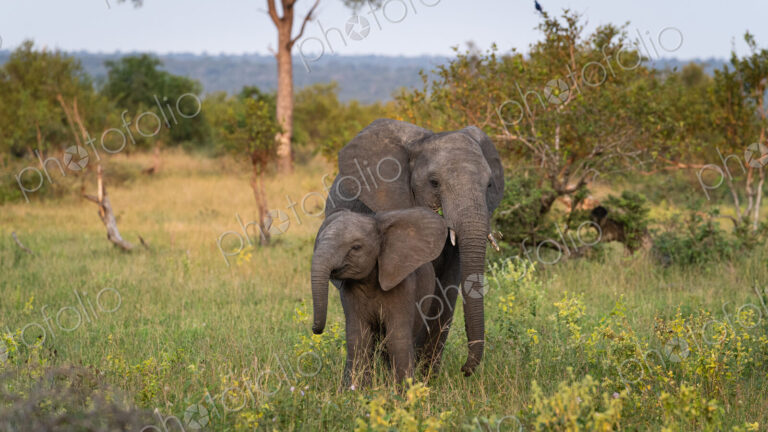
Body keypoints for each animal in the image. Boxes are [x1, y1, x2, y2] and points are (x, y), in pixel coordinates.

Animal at [310, 207, 447, 385]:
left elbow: (397, 338)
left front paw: (404, 390)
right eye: (318, 242)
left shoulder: (403, 287)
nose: (315, 329)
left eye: (356, 247)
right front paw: (354, 389)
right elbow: (358, 337)